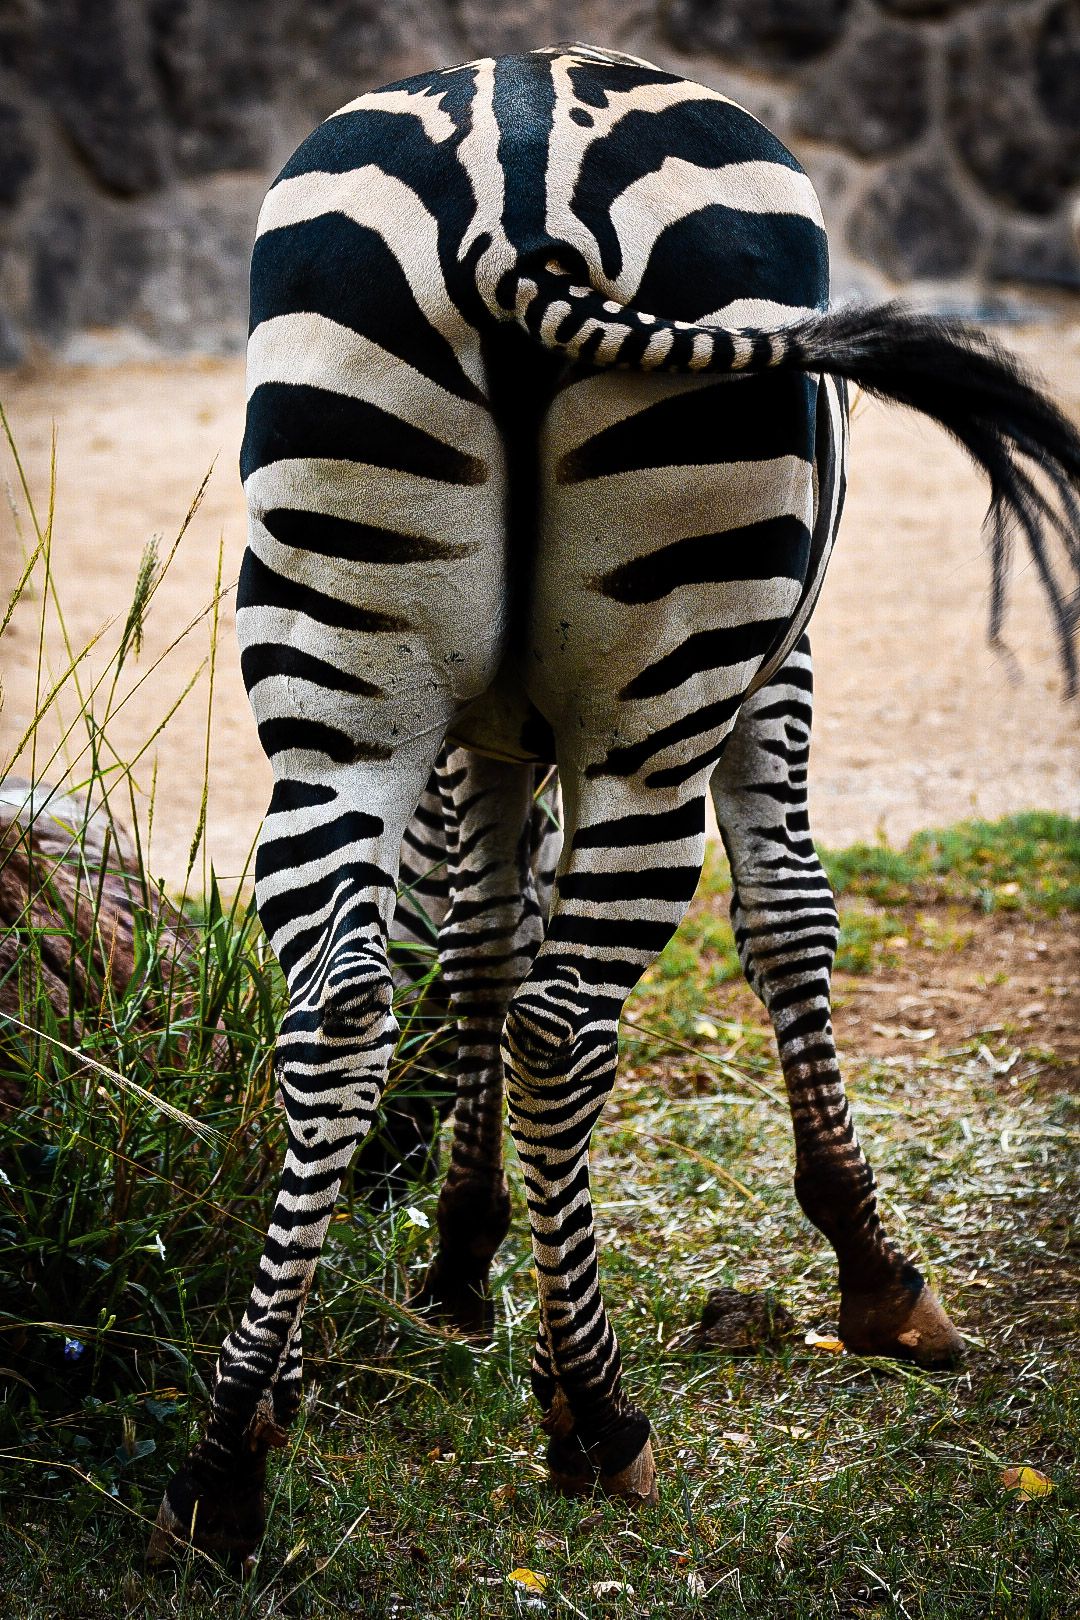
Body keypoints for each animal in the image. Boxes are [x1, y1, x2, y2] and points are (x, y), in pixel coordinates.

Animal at [150, 42, 1080, 1562]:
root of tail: (509, 186)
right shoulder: (778, 669)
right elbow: (788, 919)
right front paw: (876, 1275)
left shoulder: (477, 739)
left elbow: (479, 941)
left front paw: (457, 1260)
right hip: (669, 688)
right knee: (564, 1024)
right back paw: (596, 1416)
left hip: (339, 684)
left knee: (340, 1015)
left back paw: (230, 1451)